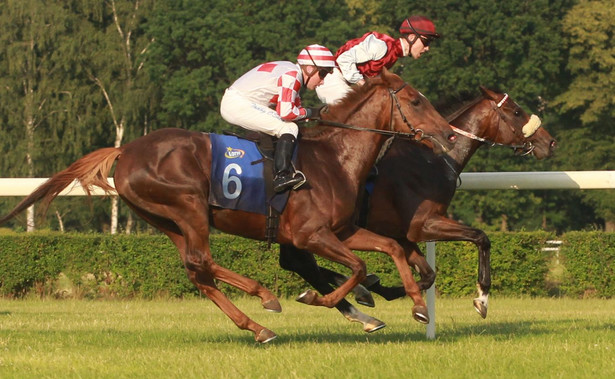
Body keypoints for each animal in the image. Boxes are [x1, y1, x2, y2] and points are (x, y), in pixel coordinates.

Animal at [0, 69, 458, 344]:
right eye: (416, 100)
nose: (449, 135)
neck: (335, 158)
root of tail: (125, 150)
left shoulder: (342, 231)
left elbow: (392, 248)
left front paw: (418, 305)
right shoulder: (311, 234)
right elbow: (359, 267)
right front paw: (320, 298)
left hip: (166, 220)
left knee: (196, 271)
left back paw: (257, 327)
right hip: (187, 206)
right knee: (202, 260)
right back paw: (265, 297)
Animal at [280, 87, 560, 332]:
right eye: (516, 111)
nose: (550, 142)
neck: (433, 158)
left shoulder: (402, 235)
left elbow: (428, 274)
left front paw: (388, 290)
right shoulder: (423, 225)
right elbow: (481, 237)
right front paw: (481, 299)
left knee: (295, 262)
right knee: (301, 262)